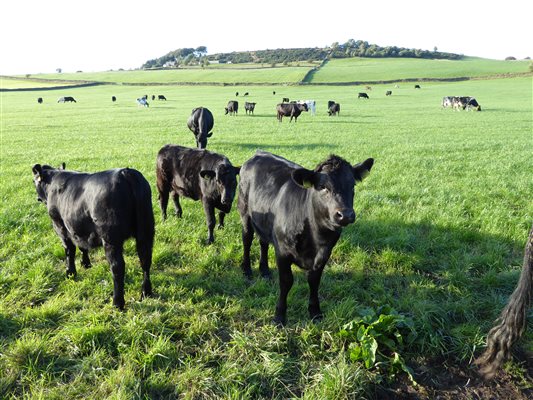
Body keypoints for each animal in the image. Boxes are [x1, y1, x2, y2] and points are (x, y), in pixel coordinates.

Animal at [32, 162, 154, 310]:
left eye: (34, 181)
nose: (37, 198)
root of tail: (126, 172)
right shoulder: (80, 228)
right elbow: (83, 246)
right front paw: (85, 263)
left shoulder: (61, 226)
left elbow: (69, 250)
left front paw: (70, 273)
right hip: (146, 231)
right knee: (145, 260)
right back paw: (146, 292)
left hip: (111, 239)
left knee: (117, 267)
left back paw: (117, 302)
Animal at [239, 150, 372, 324]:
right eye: (322, 187)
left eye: (352, 185)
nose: (345, 215)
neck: (315, 237)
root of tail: (259, 153)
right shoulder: (283, 251)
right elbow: (286, 281)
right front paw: (279, 316)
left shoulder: (324, 254)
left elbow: (314, 281)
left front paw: (315, 312)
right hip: (244, 211)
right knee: (247, 239)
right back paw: (247, 270)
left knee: (263, 242)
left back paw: (265, 271)